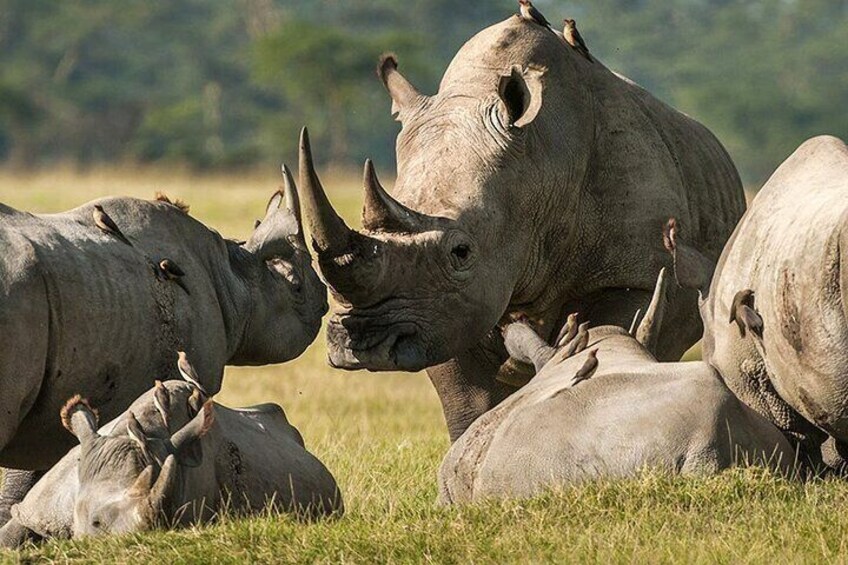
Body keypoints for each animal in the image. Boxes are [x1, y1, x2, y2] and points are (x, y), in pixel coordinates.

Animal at [294, 12, 744, 436]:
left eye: (461, 252)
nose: (361, 343)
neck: (537, 167)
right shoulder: (445, 309)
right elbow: (467, 399)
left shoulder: (637, 273)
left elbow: (613, 337)